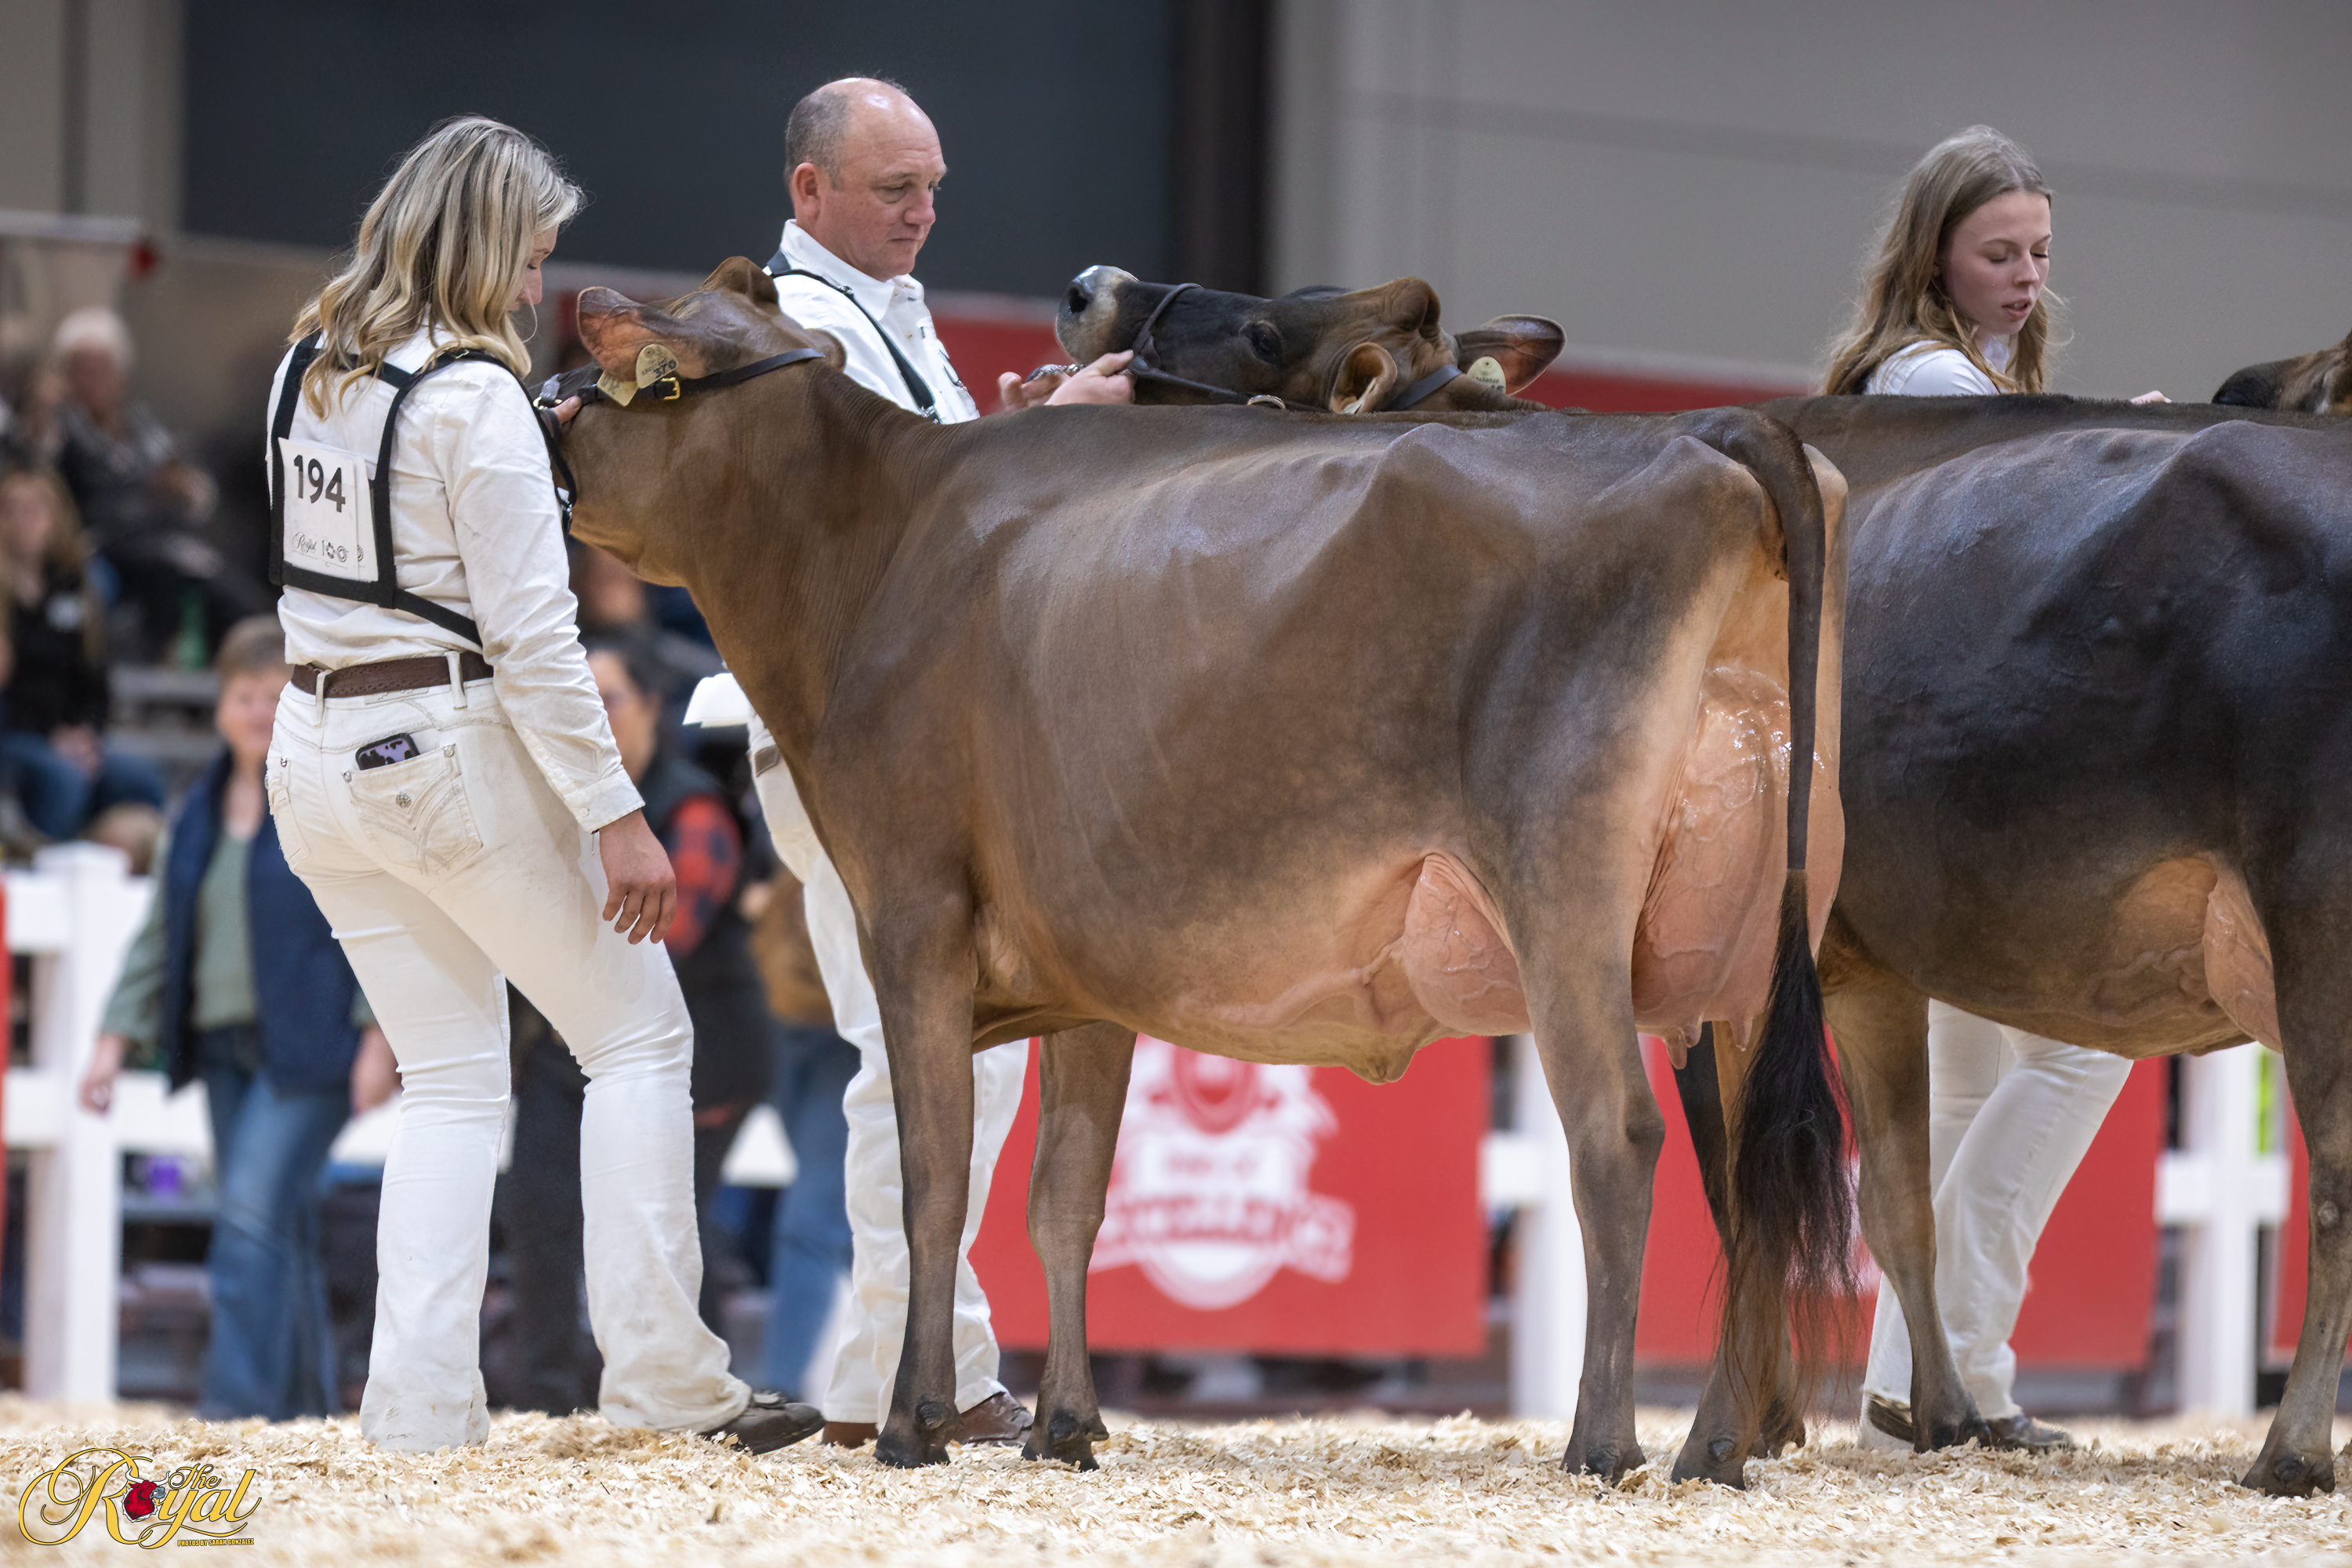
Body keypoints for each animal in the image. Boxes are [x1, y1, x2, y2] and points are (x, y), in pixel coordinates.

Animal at [552, 257, 1850, 1481]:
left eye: (621, 377)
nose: (545, 408)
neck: (875, 545)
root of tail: (1707, 432)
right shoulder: (1081, 968)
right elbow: (1064, 1196)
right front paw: (1065, 1426)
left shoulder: (913, 909)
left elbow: (935, 1180)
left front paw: (914, 1422)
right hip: (1752, 940)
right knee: (1751, 1167)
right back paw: (1715, 1446)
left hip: (1565, 891)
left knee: (1617, 1139)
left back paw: (1603, 1443)